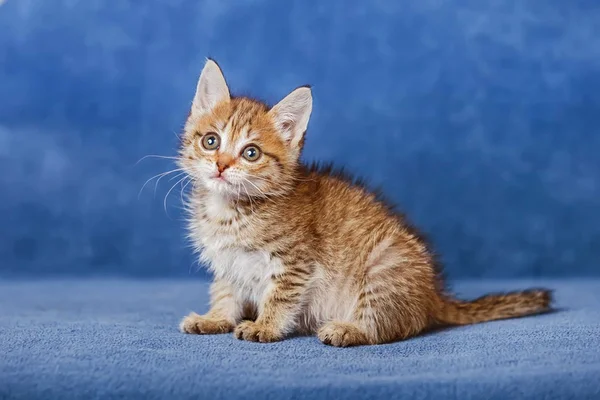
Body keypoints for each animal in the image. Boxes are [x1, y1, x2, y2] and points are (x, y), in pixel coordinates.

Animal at [176, 59, 552, 346]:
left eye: (251, 152)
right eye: (211, 141)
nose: (221, 165)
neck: (230, 210)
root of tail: (434, 295)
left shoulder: (294, 262)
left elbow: (280, 296)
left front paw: (265, 325)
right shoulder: (227, 265)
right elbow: (226, 292)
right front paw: (215, 318)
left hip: (385, 263)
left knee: (392, 325)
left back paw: (349, 329)